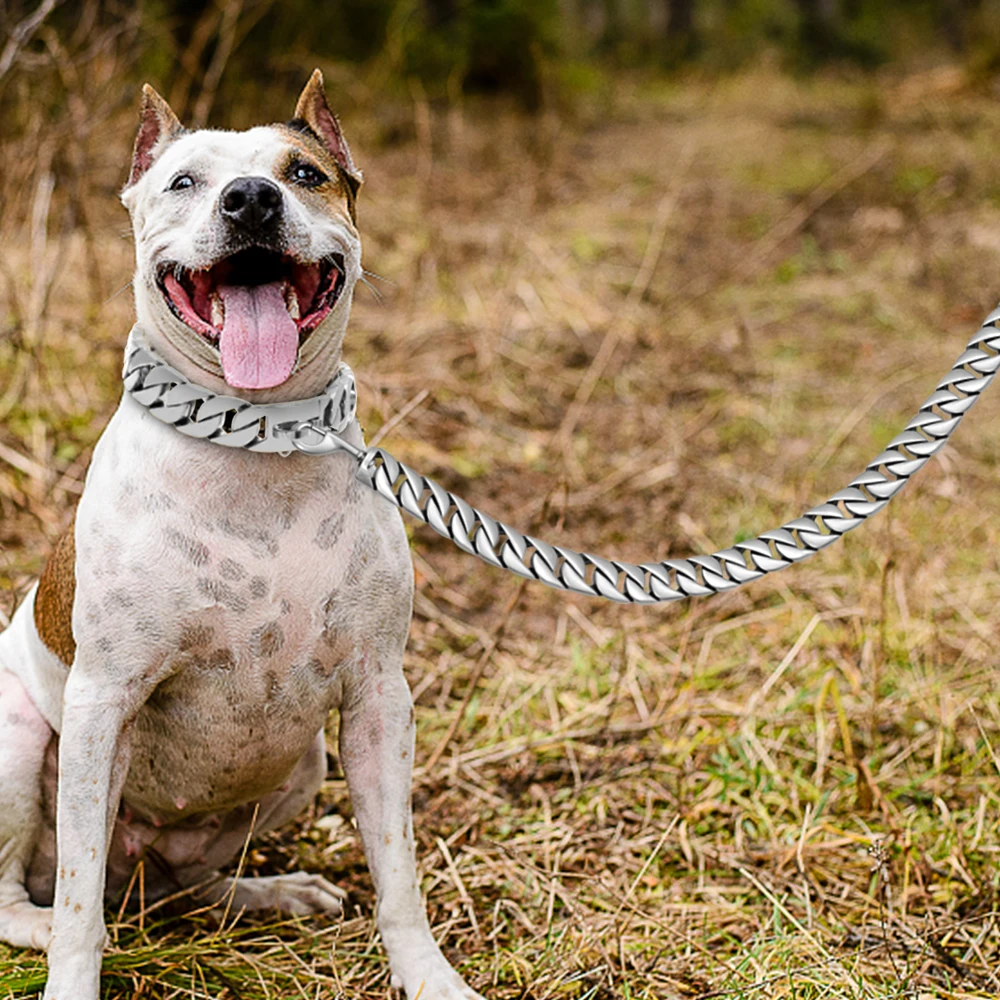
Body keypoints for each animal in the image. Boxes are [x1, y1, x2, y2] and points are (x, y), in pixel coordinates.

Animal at [0, 70, 483, 1000]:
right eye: (182, 182)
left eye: (304, 173)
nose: (251, 198)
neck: (255, 437)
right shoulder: (101, 702)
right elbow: (78, 902)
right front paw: (72, 972)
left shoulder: (378, 698)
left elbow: (398, 870)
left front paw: (427, 974)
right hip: (16, 738)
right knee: (37, 892)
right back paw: (43, 925)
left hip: (302, 767)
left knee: (189, 883)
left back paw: (267, 892)